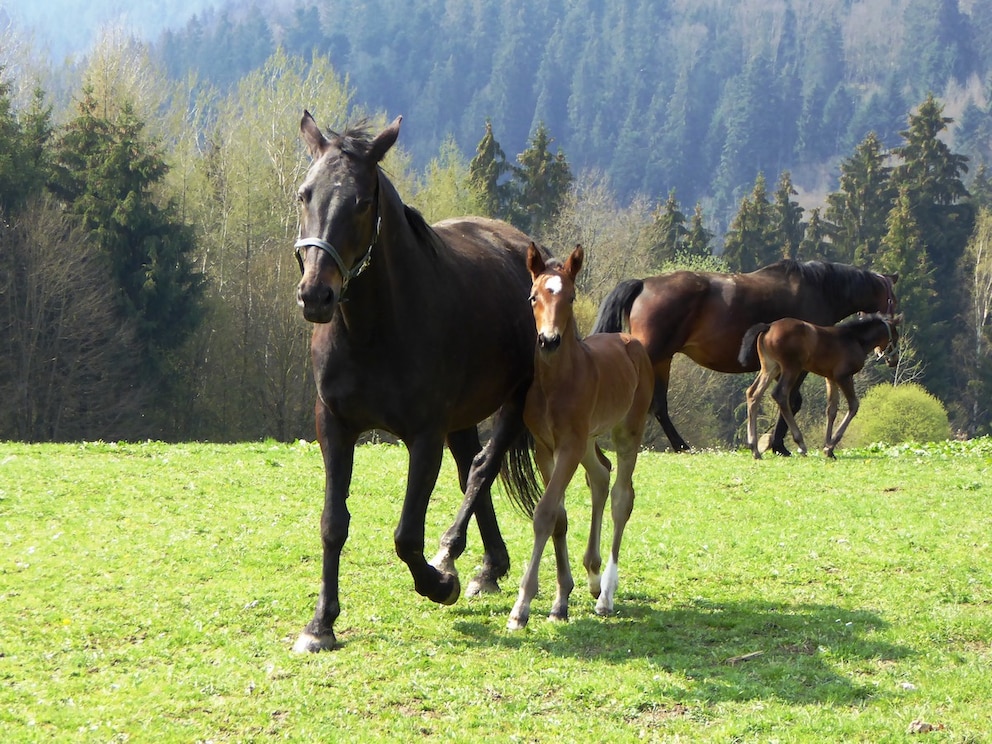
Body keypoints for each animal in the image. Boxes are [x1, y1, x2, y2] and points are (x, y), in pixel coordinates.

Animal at [588, 258, 900, 450]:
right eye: (893, 299)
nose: (891, 354)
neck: (821, 290)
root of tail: (644, 283)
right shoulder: (799, 366)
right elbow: (791, 400)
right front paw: (780, 444)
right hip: (654, 356)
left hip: (663, 359)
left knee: (659, 406)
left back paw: (680, 445)